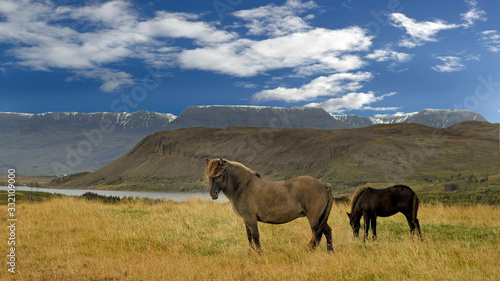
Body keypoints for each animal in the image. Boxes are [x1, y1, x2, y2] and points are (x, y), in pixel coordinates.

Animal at [205, 159, 334, 253]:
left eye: (219, 175)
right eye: (209, 177)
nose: (213, 194)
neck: (243, 187)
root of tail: (324, 185)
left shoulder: (250, 218)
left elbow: (255, 236)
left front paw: (259, 253)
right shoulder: (246, 219)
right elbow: (249, 237)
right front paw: (251, 254)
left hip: (314, 218)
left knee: (317, 234)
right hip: (320, 217)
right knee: (326, 231)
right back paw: (330, 252)